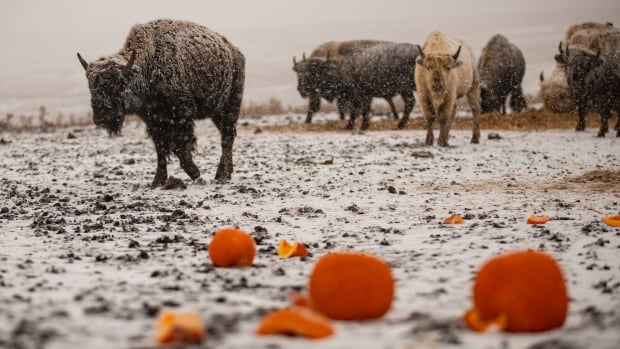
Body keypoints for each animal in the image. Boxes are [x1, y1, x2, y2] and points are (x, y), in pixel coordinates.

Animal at [75, 18, 245, 188]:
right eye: (91, 87)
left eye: (116, 85)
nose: (100, 119)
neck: (147, 68)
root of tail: (235, 52)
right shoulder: (153, 123)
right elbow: (161, 150)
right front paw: (158, 180)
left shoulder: (181, 118)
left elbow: (181, 146)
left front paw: (194, 172)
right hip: (216, 112)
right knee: (226, 135)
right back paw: (223, 174)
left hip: (230, 106)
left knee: (227, 137)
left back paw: (223, 176)